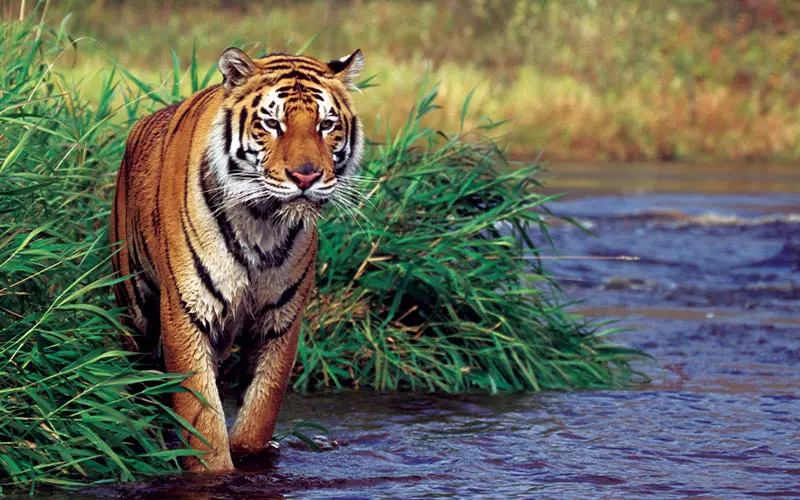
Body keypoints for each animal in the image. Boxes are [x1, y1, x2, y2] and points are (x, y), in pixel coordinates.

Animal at [110, 47, 364, 473]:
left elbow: (261, 407)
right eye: (272, 123)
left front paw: (250, 455)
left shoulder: (281, 319)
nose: (306, 177)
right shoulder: (186, 310)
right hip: (135, 307)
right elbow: (201, 418)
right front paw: (214, 470)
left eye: (327, 124)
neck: (262, 220)